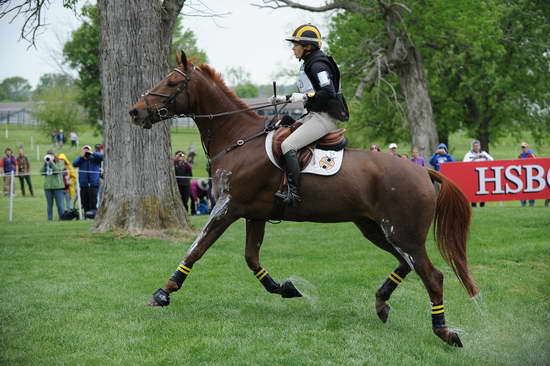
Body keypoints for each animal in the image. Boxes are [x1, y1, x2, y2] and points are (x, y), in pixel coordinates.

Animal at [129, 51, 478, 346]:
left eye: (171, 83)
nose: (135, 111)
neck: (238, 139)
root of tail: (423, 171)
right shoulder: (254, 214)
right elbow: (251, 258)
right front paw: (285, 288)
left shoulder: (227, 208)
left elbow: (195, 250)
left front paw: (163, 292)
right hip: (375, 227)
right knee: (405, 264)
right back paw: (382, 303)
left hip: (404, 233)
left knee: (432, 276)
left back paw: (444, 331)